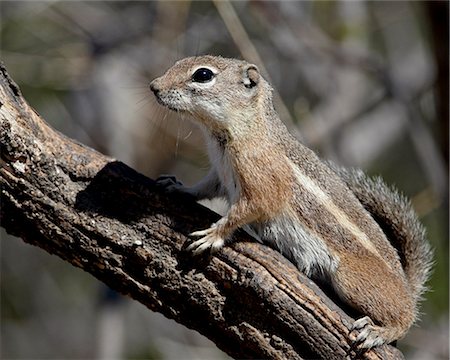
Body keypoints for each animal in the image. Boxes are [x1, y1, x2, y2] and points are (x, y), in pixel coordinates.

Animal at [149, 54, 432, 350]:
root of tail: (406, 287)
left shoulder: (262, 183)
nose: (154, 86)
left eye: (203, 75)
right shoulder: (219, 175)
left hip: (351, 278)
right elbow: (203, 188)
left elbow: (247, 210)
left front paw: (214, 234)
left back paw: (381, 331)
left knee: (405, 318)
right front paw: (178, 187)